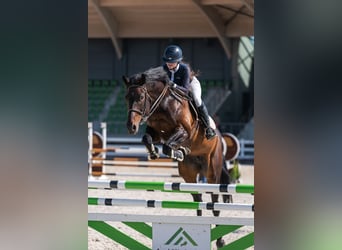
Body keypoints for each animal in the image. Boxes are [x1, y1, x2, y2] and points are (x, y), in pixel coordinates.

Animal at [122, 66, 230, 248]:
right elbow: (147, 138)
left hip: (212, 172)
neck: (162, 105)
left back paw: (220, 240)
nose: (131, 127)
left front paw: (177, 151)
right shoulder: (157, 133)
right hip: (189, 174)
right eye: (126, 97)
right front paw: (155, 152)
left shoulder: (184, 131)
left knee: (214, 200)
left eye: (141, 97)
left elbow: (168, 145)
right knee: (198, 197)